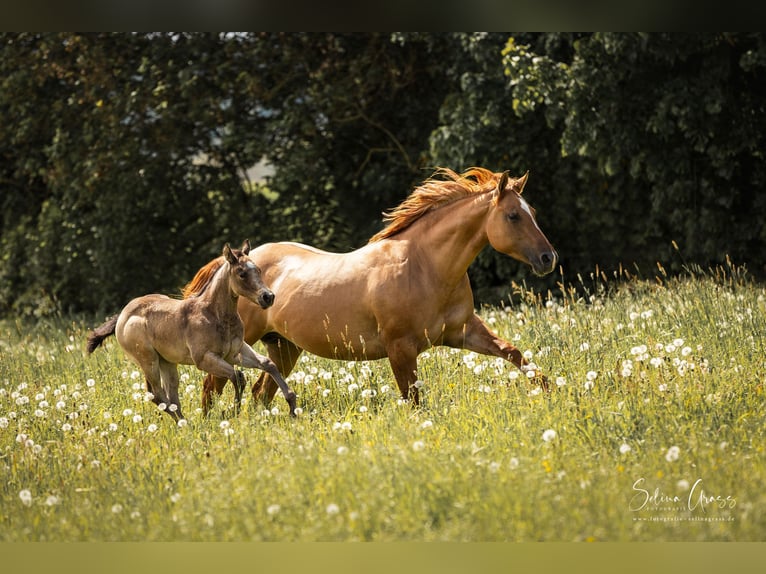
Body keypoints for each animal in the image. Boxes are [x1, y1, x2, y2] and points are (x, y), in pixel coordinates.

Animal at [87, 241, 296, 420]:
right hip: (148, 361)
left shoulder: (235, 352)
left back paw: (185, 424)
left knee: (170, 396)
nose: (268, 297)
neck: (216, 315)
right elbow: (237, 376)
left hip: (167, 362)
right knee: (157, 394)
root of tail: (122, 315)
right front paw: (233, 411)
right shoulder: (204, 359)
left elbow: (268, 364)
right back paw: (184, 423)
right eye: (242, 273)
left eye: (259, 270)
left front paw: (292, 404)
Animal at [186, 168, 560, 414]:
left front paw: (553, 394)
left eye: (532, 212)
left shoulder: (464, 332)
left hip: (284, 347)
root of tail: (234, 263)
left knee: (260, 393)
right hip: (237, 345)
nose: (548, 258)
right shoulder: (401, 349)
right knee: (211, 389)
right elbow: (414, 402)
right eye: (513, 216)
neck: (425, 267)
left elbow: (515, 355)